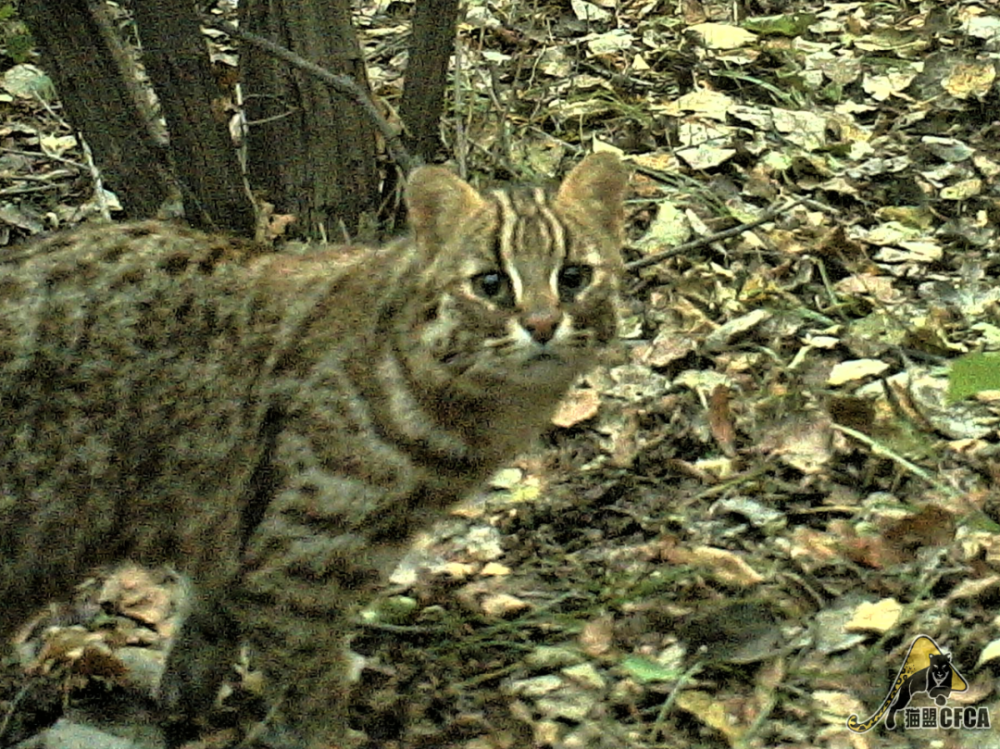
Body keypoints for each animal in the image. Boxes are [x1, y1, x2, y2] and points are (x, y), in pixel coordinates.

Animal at [0, 153, 624, 748]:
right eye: (491, 283)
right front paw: (318, 732)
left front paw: (180, 712)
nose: (542, 323)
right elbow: (310, 686)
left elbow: (203, 639)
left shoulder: (233, 550)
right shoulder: (294, 563)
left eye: (574, 277)